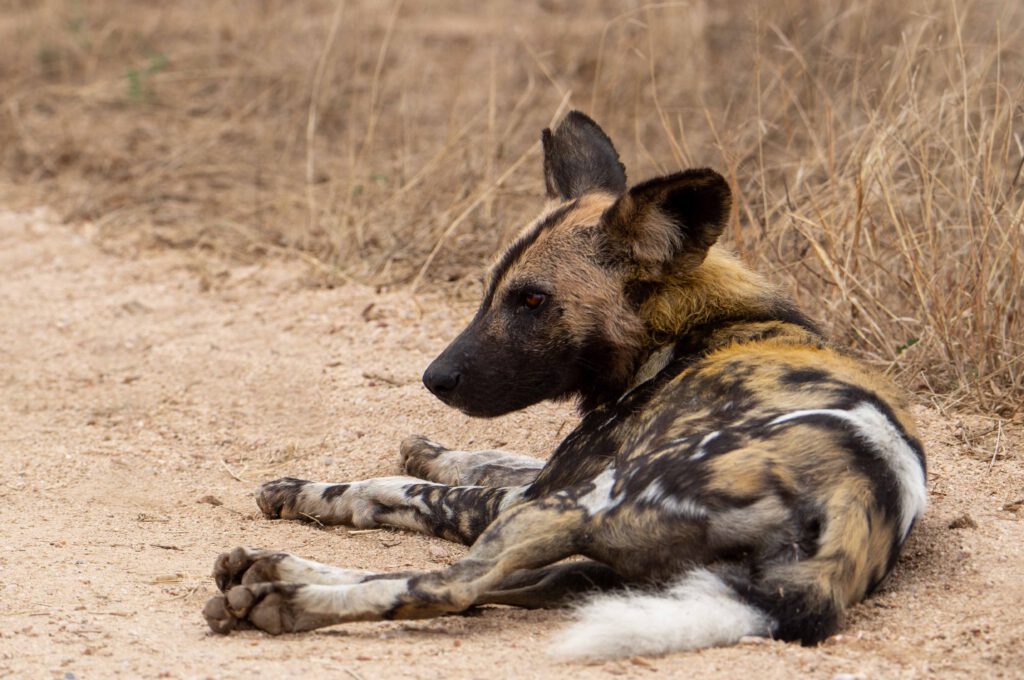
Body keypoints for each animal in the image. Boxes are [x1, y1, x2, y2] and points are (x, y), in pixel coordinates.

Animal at [203, 110, 925, 659]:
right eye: (491, 290)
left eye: (532, 301)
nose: (435, 379)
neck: (685, 325)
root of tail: (860, 495)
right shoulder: (551, 470)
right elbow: (476, 458)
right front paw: (425, 448)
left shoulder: (534, 490)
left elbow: (394, 490)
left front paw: (311, 491)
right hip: (594, 557)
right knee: (492, 587)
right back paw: (267, 571)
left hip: (571, 508)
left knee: (450, 587)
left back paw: (281, 595)